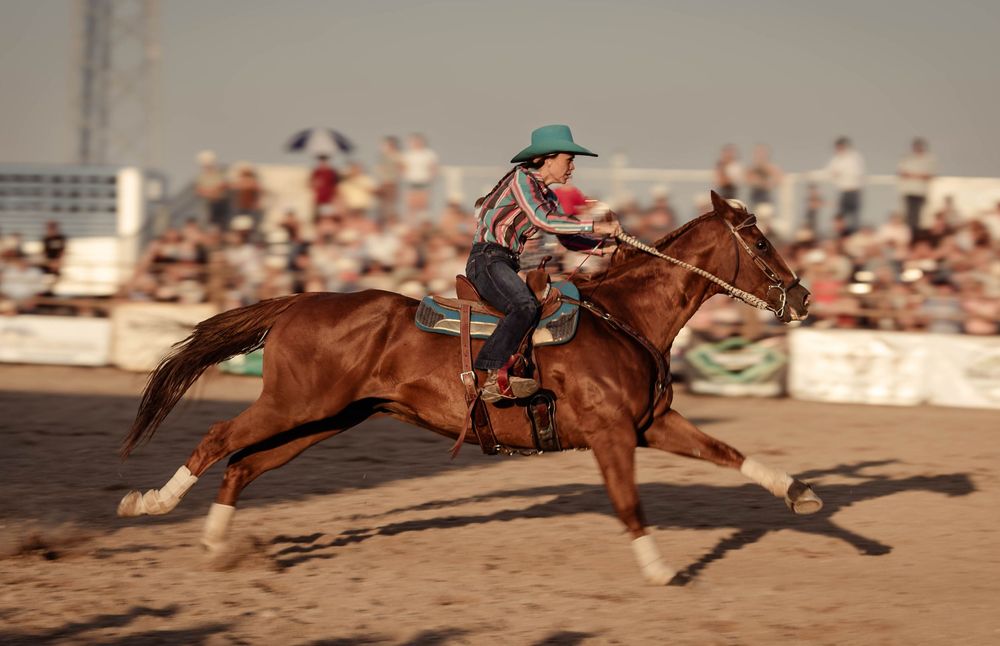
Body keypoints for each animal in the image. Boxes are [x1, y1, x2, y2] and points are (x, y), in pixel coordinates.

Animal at [117, 191, 819, 585]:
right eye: (759, 241)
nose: (804, 297)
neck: (623, 316)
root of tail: (301, 300)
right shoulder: (611, 433)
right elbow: (629, 503)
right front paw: (660, 568)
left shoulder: (651, 425)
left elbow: (729, 453)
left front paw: (801, 493)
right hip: (294, 404)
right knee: (218, 438)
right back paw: (147, 504)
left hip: (326, 417)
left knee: (243, 464)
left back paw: (215, 544)